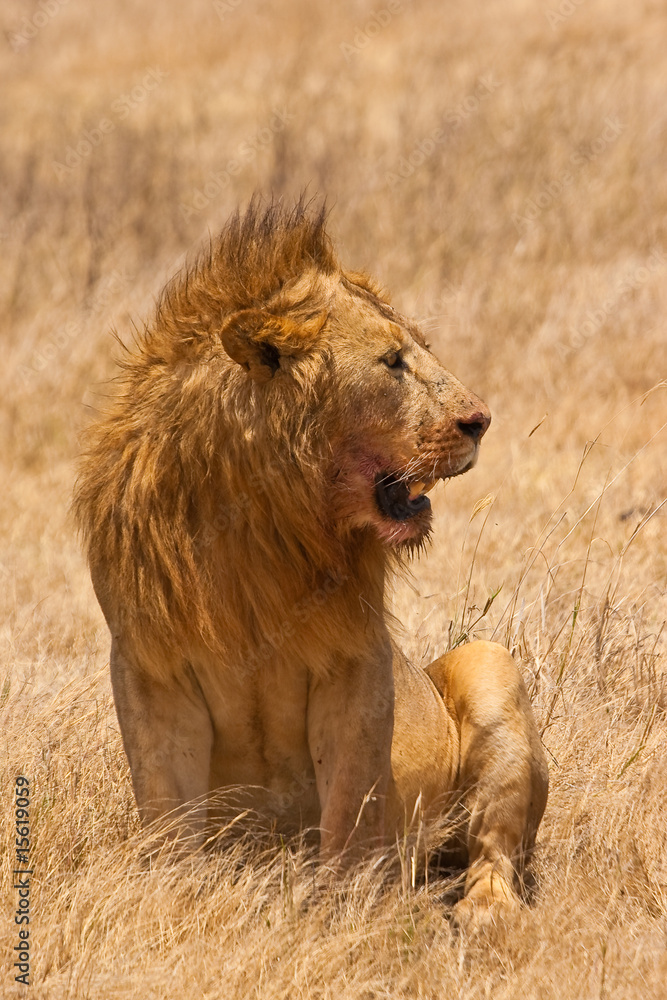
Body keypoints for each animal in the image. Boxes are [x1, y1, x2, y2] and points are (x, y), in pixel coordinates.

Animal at [74, 199, 548, 929]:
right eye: (392, 362)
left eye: (419, 351)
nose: (481, 420)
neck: (263, 519)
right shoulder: (150, 667)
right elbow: (168, 812)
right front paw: (174, 908)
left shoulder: (354, 662)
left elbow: (350, 812)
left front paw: (342, 919)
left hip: (488, 664)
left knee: (491, 850)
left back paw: (482, 913)